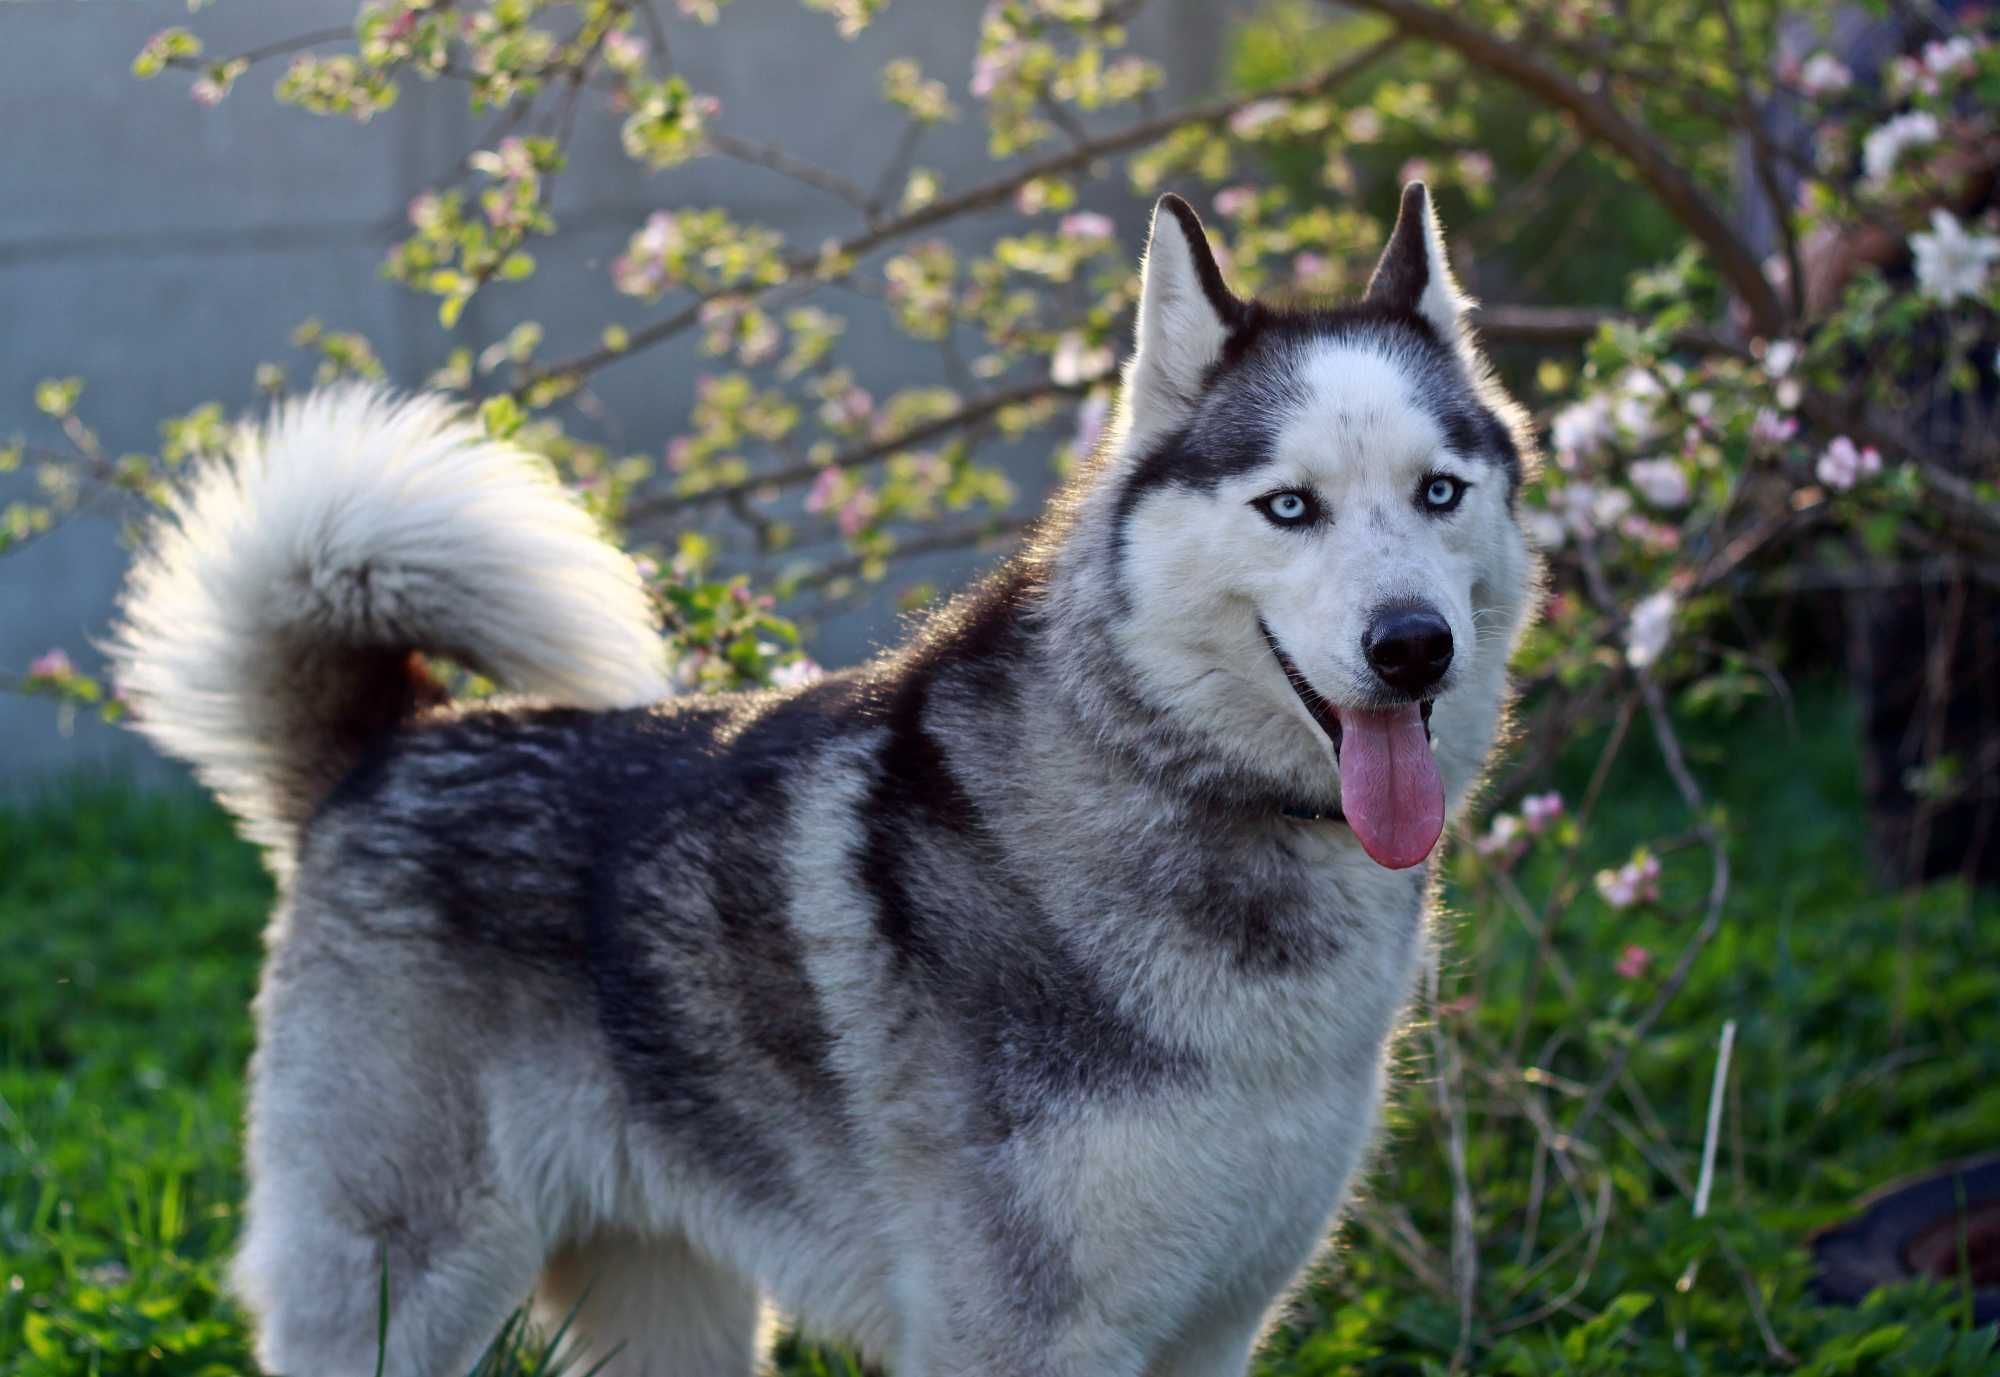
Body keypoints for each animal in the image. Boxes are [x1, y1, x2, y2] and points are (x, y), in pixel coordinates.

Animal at [109, 185, 1536, 1377]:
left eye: (1438, 491)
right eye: (1289, 506)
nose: (1411, 645)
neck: (1183, 792)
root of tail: (386, 744)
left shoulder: (1213, 1326)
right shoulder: (1017, 1338)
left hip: (670, 1314)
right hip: (403, 1292)